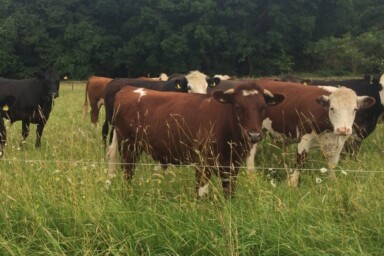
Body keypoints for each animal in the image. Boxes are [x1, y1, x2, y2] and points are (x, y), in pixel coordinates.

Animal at [106, 82, 284, 198]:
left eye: (263, 108)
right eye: (238, 107)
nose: (254, 135)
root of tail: (129, 88)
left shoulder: (232, 165)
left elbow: (229, 193)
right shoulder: (203, 163)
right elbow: (201, 193)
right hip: (129, 147)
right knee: (128, 173)